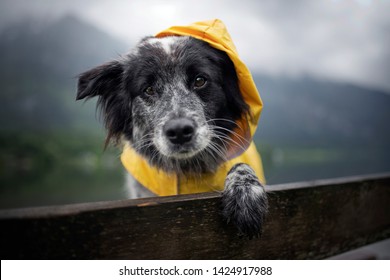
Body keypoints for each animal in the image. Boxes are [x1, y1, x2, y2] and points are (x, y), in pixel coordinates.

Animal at [77, 30, 270, 237]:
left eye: (200, 80)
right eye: (148, 89)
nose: (179, 131)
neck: (186, 169)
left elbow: (241, 165)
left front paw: (246, 194)